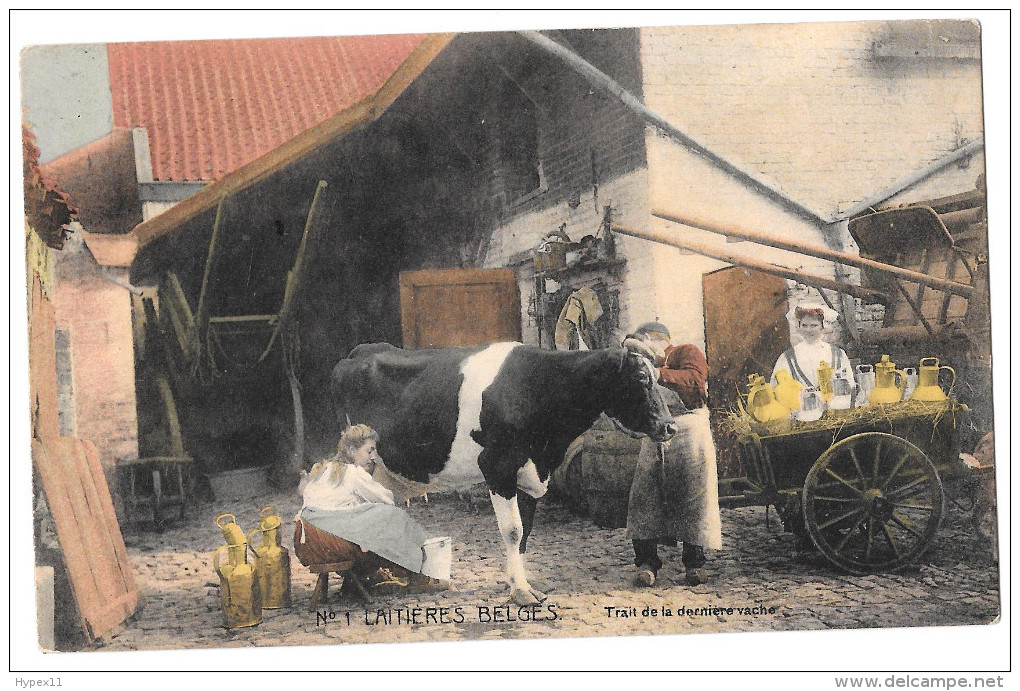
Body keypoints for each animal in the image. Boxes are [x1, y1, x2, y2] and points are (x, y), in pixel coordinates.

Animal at [330, 342, 677, 600]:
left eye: (658, 376)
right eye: (641, 378)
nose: (670, 426)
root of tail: (358, 352)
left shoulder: (532, 473)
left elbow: (525, 532)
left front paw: (519, 583)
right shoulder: (497, 466)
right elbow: (513, 530)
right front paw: (521, 590)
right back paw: (357, 586)